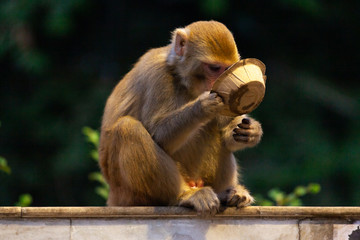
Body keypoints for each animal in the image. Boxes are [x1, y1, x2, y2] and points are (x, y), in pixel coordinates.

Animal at [98, 20, 262, 215]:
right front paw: (202, 107)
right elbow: (159, 135)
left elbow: (228, 133)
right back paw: (185, 195)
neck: (179, 75)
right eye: (214, 68)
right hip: (129, 192)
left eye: (226, 69)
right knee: (127, 128)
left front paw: (252, 131)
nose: (216, 82)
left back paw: (227, 193)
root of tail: (113, 196)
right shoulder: (158, 76)